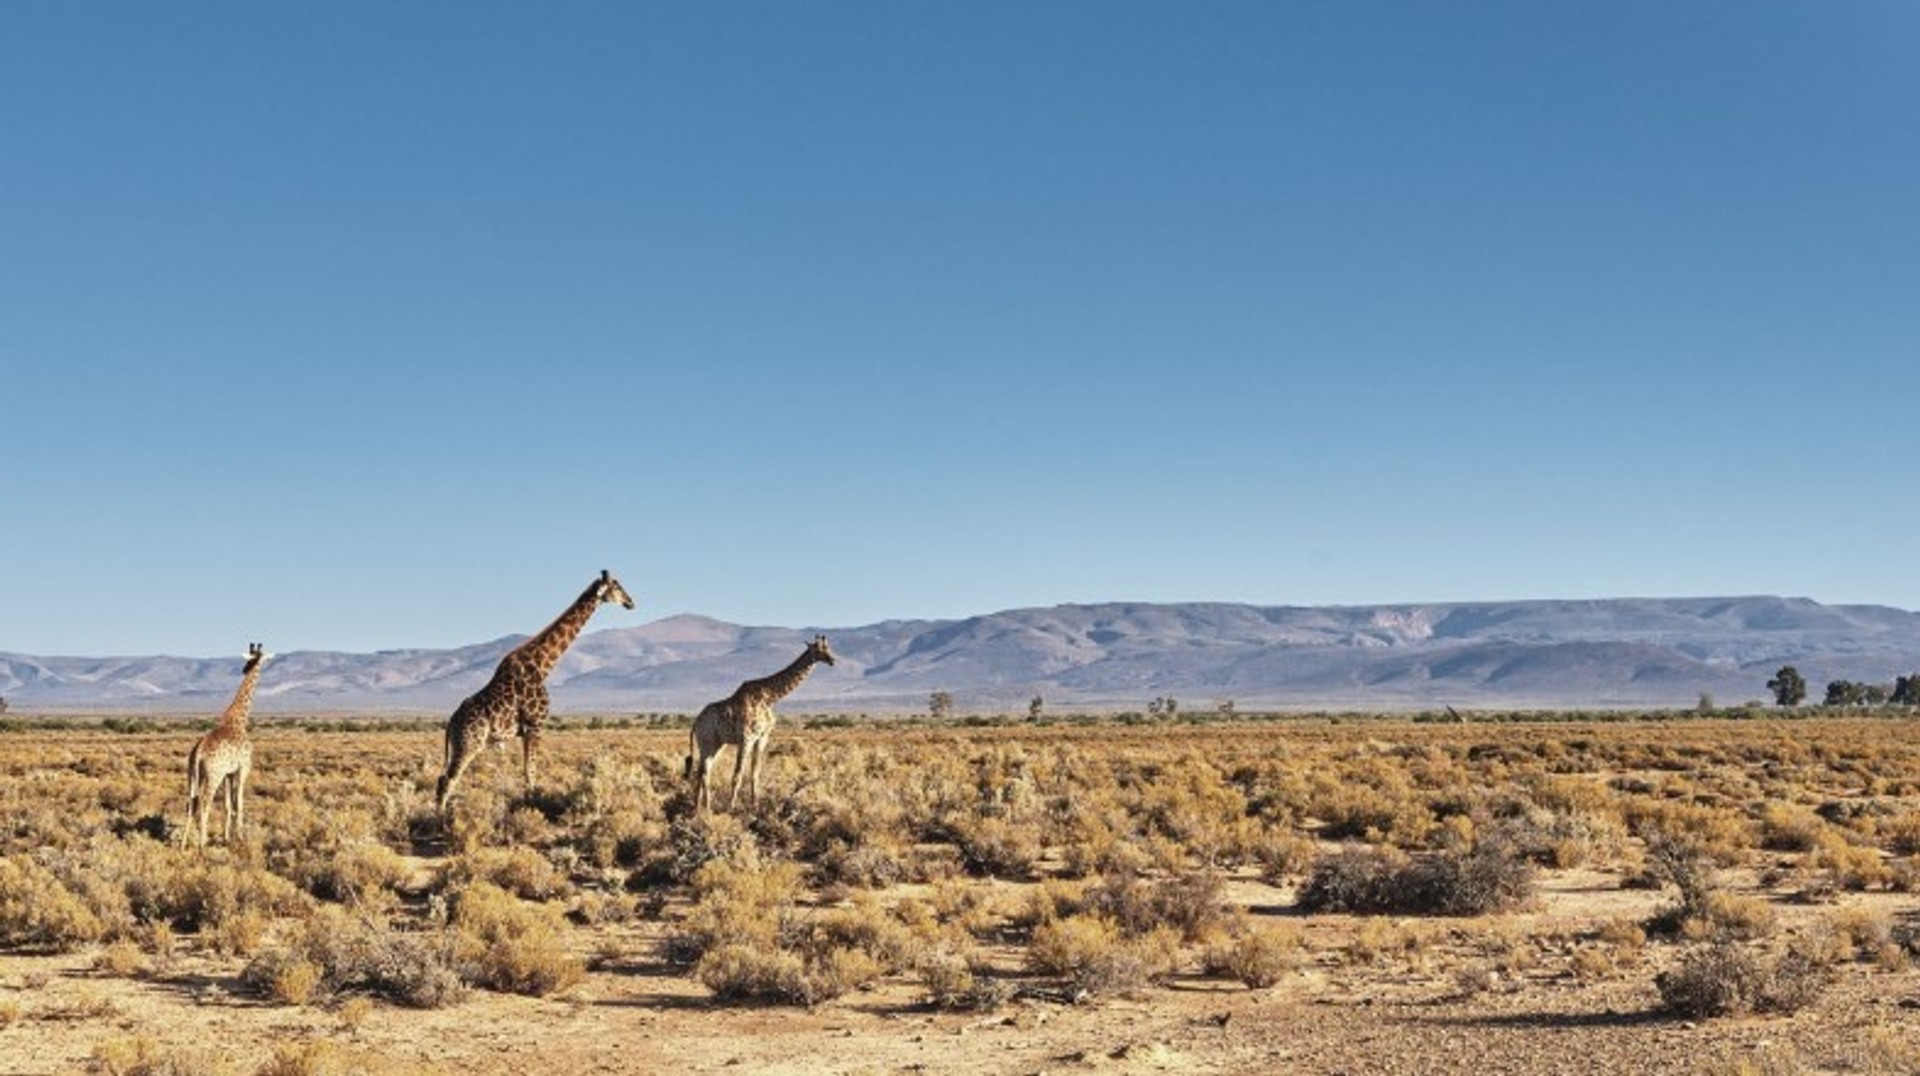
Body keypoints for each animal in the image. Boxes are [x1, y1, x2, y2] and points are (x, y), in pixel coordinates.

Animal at [186, 643, 270, 847]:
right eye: (261, 658)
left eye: (250, 660)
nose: (244, 669)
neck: (239, 720)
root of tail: (198, 752)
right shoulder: (243, 768)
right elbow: (238, 802)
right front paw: (240, 837)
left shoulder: (228, 773)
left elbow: (227, 804)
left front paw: (226, 838)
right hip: (213, 775)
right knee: (204, 801)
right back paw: (202, 844)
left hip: (192, 774)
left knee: (190, 802)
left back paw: (184, 845)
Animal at [434, 570, 635, 812]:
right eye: (617, 587)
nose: (631, 602)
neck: (542, 666)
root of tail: (451, 723)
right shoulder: (535, 725)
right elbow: (530, 772)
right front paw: (531, 807)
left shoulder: (527, 730)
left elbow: (527, 772)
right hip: (470, 743)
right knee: (448, 779)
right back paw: (438, 818)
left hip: (461, 744)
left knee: (443, 778)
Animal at [685, 635, 835, 813]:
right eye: (819, 649)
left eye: (828, 647)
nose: (833, 660)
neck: (770, 697)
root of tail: (696, 722)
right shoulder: (747, 738)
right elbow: (737, 775)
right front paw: (731, 808)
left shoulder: (762, 737)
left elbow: (755, 773)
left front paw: (754, 806)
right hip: (707, 741)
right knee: (704, 771)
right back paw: (705, 808)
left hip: (717, 744)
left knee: (703, 770)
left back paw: (699, 808)